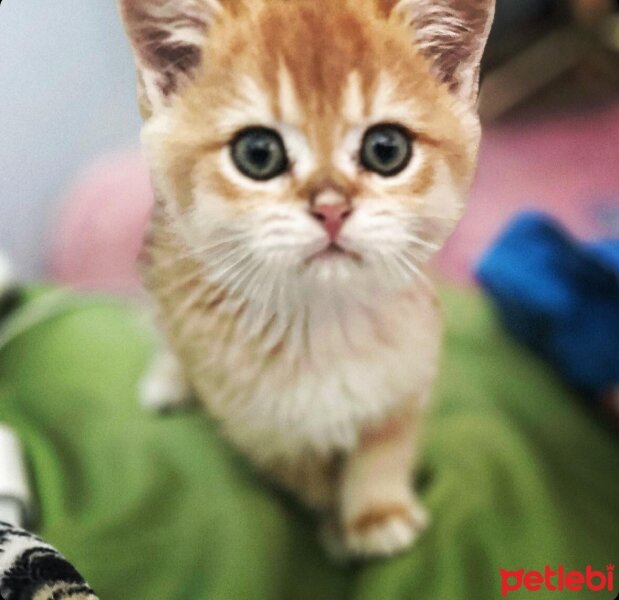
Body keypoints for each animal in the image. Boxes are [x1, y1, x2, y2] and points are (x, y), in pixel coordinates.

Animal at [121, 0, 496, 556]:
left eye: (387, 149)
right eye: (258, 153)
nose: (332, 208)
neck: (322, 323)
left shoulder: (409, 377)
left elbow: (386, 444)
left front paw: (376, 512)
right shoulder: (257, 430)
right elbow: (305, 474)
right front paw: (336, 526)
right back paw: (168, 379)